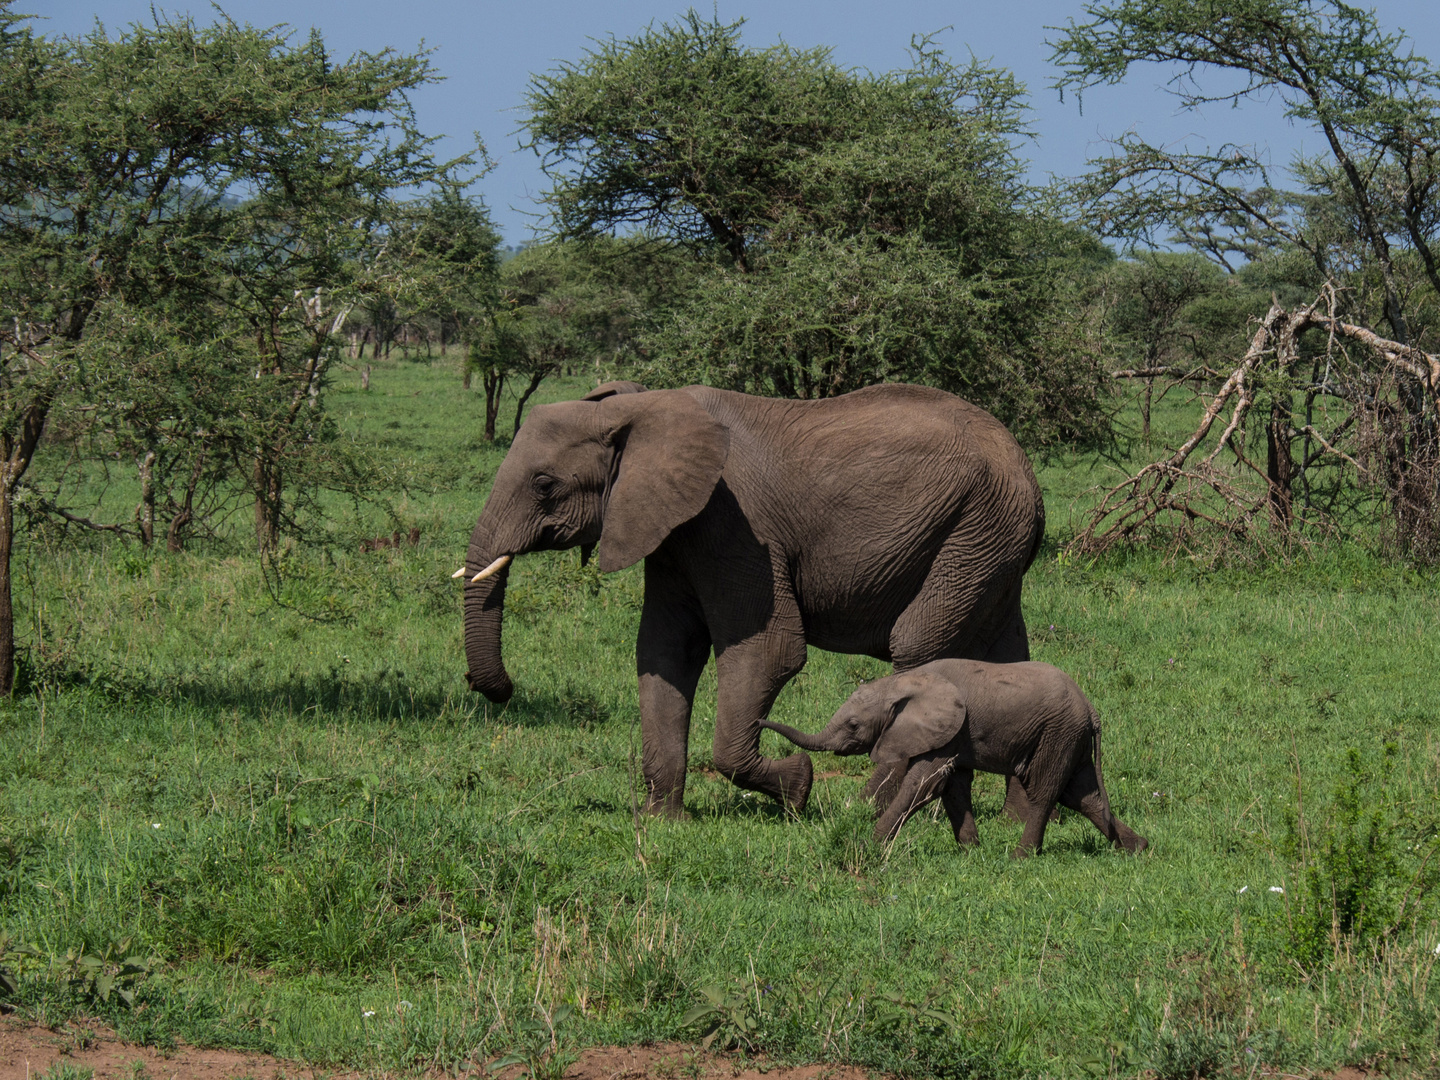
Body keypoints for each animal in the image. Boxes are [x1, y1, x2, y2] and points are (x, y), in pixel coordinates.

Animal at [460, 385, 1048, 817]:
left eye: (543, 484)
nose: (501, 689)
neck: (643, 407)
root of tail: (1025, 467)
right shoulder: (673, 534)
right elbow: (664, 651)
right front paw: (660, 823)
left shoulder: (734, 526)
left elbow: (769, 650)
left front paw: (798, 787)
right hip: (989, 542)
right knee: (1008, 656)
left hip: (975, 529)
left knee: (918, 644)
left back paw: (891, 810)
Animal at [766, 659, 1146, 864]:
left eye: (853, 725)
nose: (759, 722)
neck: (903, 681)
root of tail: (1092, 710)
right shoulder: (954, 734)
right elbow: (953, 786)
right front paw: (971, 852)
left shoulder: (949, 727)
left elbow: (924, 781)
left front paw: (865, 845)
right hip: (1069, 738)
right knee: (1083, 796)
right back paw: (1136, 849)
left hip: (1058, 733)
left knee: (1045, 791)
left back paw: (1020, 857)